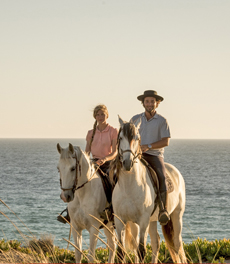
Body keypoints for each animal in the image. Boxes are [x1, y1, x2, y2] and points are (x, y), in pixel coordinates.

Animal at [112, 118, 187, 264]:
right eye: (121, 137)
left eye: (136, 138)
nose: (127, 163)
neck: (128, 187)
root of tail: (176, 172)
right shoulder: (120, 221)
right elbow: (121, 253)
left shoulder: (143, 220)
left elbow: (141, 251)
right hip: (152, 220)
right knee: (156, 242)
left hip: (176, 215)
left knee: (177, 243)